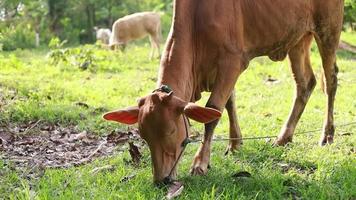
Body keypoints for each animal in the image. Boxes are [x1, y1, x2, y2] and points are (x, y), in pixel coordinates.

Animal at [103, 0, 344, 184]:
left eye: (171, 131)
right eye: (143, 135)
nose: (161, 180)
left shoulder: (232, 62)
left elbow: (213, 110)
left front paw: (200, 162)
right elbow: (228, 103)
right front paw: (235, 144)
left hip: (328, 28)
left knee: (330, 78)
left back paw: (327, 134)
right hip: (298, 37)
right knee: (305, 82)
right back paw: (284, 137)